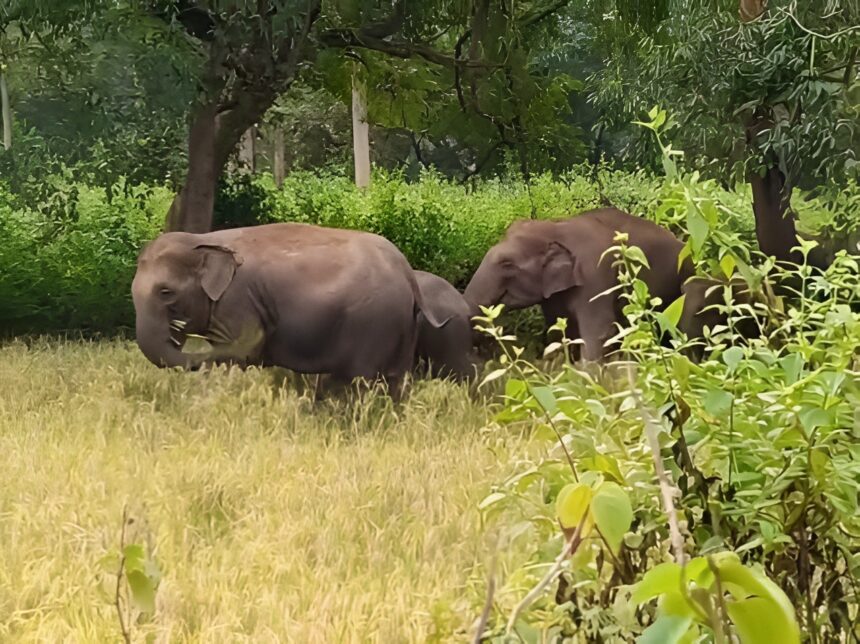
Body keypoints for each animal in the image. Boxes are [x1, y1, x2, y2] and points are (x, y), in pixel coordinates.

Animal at [131, 222, 447, 398]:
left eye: (166, 292)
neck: (204, 239)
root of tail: (406, 270)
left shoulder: (238, 300)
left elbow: (240, 349)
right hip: (402, 325)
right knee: (397, 380)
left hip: (373, 322)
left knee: (360, 379)